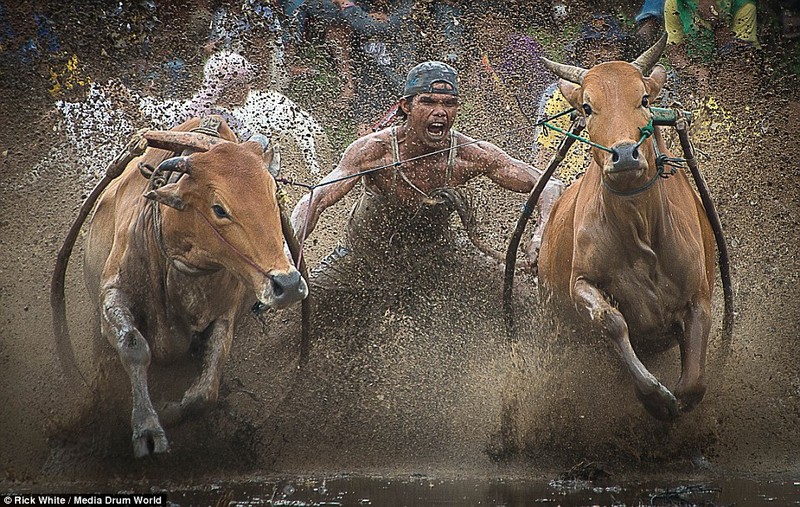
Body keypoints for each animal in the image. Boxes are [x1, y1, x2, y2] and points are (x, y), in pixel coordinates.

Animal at [55, 117, 306, 458]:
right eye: (219, 209)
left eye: (273, 195)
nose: (289, 284)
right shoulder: (113, 295)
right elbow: (133, 347)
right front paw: (147, 428)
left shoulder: (223, 317)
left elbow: (205, 392)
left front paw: (167, 410)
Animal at [536, 35, 720, 422]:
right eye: (588, 107)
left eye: (644, 99)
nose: (623, 155)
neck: (639, 230)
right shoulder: (581, 282)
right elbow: (613, 321)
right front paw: (655, 397)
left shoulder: (699, 296)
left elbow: (693, 384)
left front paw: (676, 399)